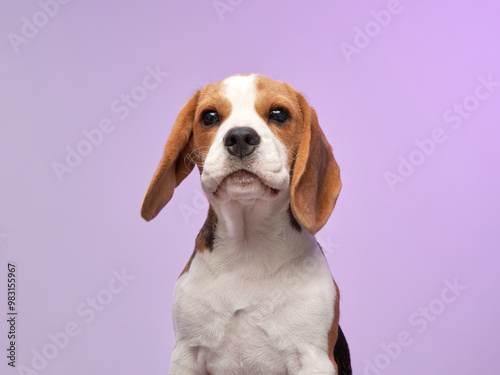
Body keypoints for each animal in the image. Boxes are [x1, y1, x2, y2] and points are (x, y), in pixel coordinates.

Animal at [141, 74, 352, 375]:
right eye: (209, 116)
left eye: (279, 114)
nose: (240, 137)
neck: (247, 245)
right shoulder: (186, 355)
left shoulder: (313, 358)